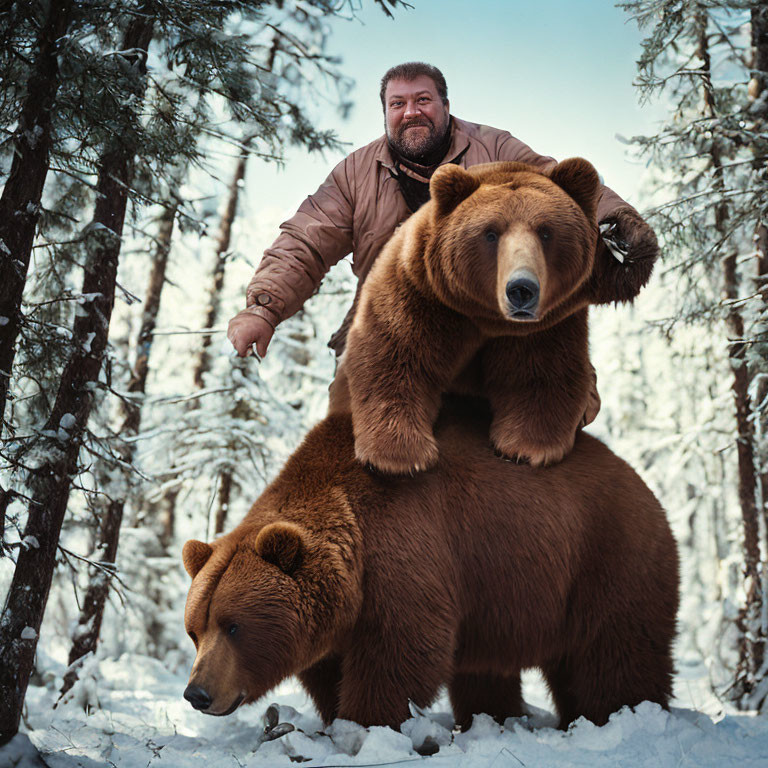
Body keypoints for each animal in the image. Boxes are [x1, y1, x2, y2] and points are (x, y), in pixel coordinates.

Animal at [180, 400, 680, 736]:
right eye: (195, 629)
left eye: (234, 625)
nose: (196, 693)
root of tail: (644, 485)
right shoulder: (334, 617)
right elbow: (326, 669)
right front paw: (335, 717)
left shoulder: (405, 558)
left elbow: (398, 654)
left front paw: (366, 723)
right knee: (491, 671)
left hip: (605, 558)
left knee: (616, 651)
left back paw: (617, 717)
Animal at [336, 158, 648, 472]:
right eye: (490, 233)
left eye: (546, 231)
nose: (521, 288)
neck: (486, 318)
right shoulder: (420, 296)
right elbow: (396, 358)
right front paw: (400, 455)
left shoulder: (543, 328)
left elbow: (539, 377)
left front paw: (524, 447)